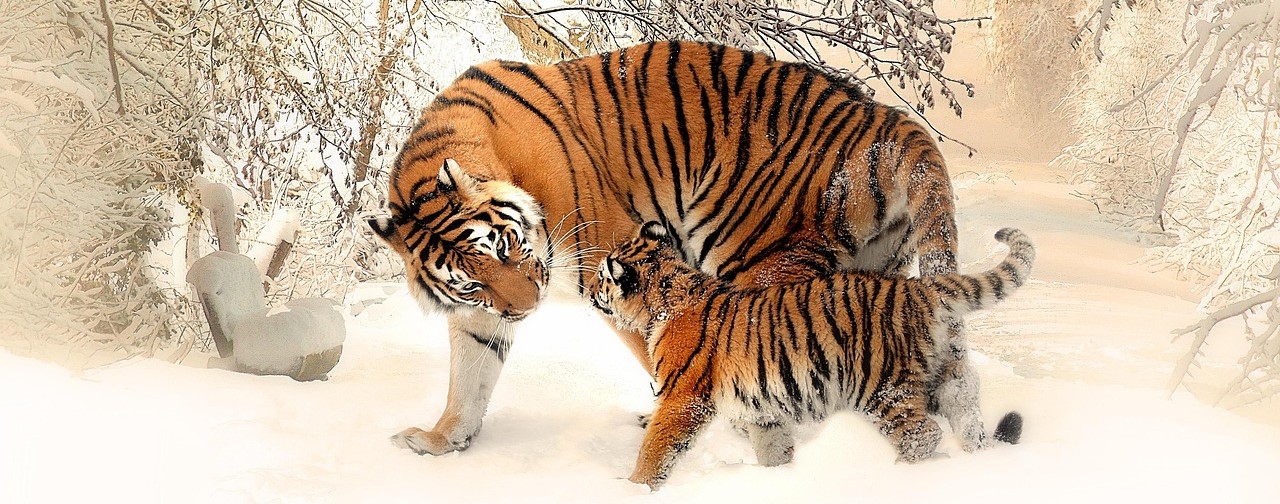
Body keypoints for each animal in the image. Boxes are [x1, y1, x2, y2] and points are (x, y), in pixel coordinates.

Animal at [367, 40, 965, 457]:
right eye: (472, 282)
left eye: (509, 247)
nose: (527, 308)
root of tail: (887, 119)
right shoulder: (480, 313)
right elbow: (469, 376)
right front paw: (442, 440)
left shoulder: (611, 260)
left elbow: (657, 348)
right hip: (873, 271)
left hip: (756, 257)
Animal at [590, 222, 1032, 489]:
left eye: (600, 277)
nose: (590, 291)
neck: (666, 296)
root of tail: (918, 288)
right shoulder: (761, 409)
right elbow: (772, 446)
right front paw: (779, 479)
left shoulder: (682, 398)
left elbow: (656, 447)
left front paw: (633, 487)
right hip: (942, 376)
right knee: (965, 413)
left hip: (881, 387)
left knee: (922, 434)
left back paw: (896, 475)